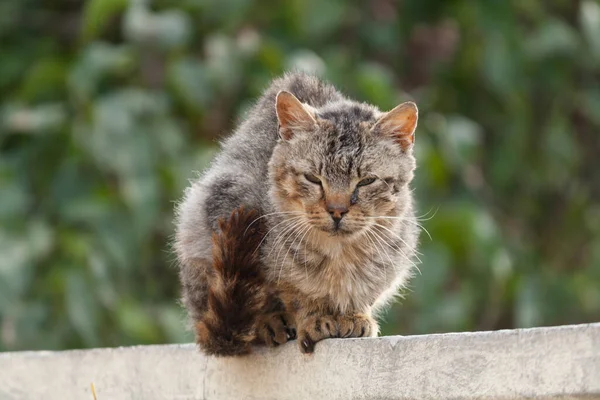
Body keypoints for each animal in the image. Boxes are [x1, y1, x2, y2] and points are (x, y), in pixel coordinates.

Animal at [172, 72, 418, 356]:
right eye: (313, 178)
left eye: (366, 181)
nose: (337, 210)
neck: (339, 255)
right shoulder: (229, 209)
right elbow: (294, 293)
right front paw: (313, 317)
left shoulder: (391, 263)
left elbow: (365, 292)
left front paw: (355, 316)